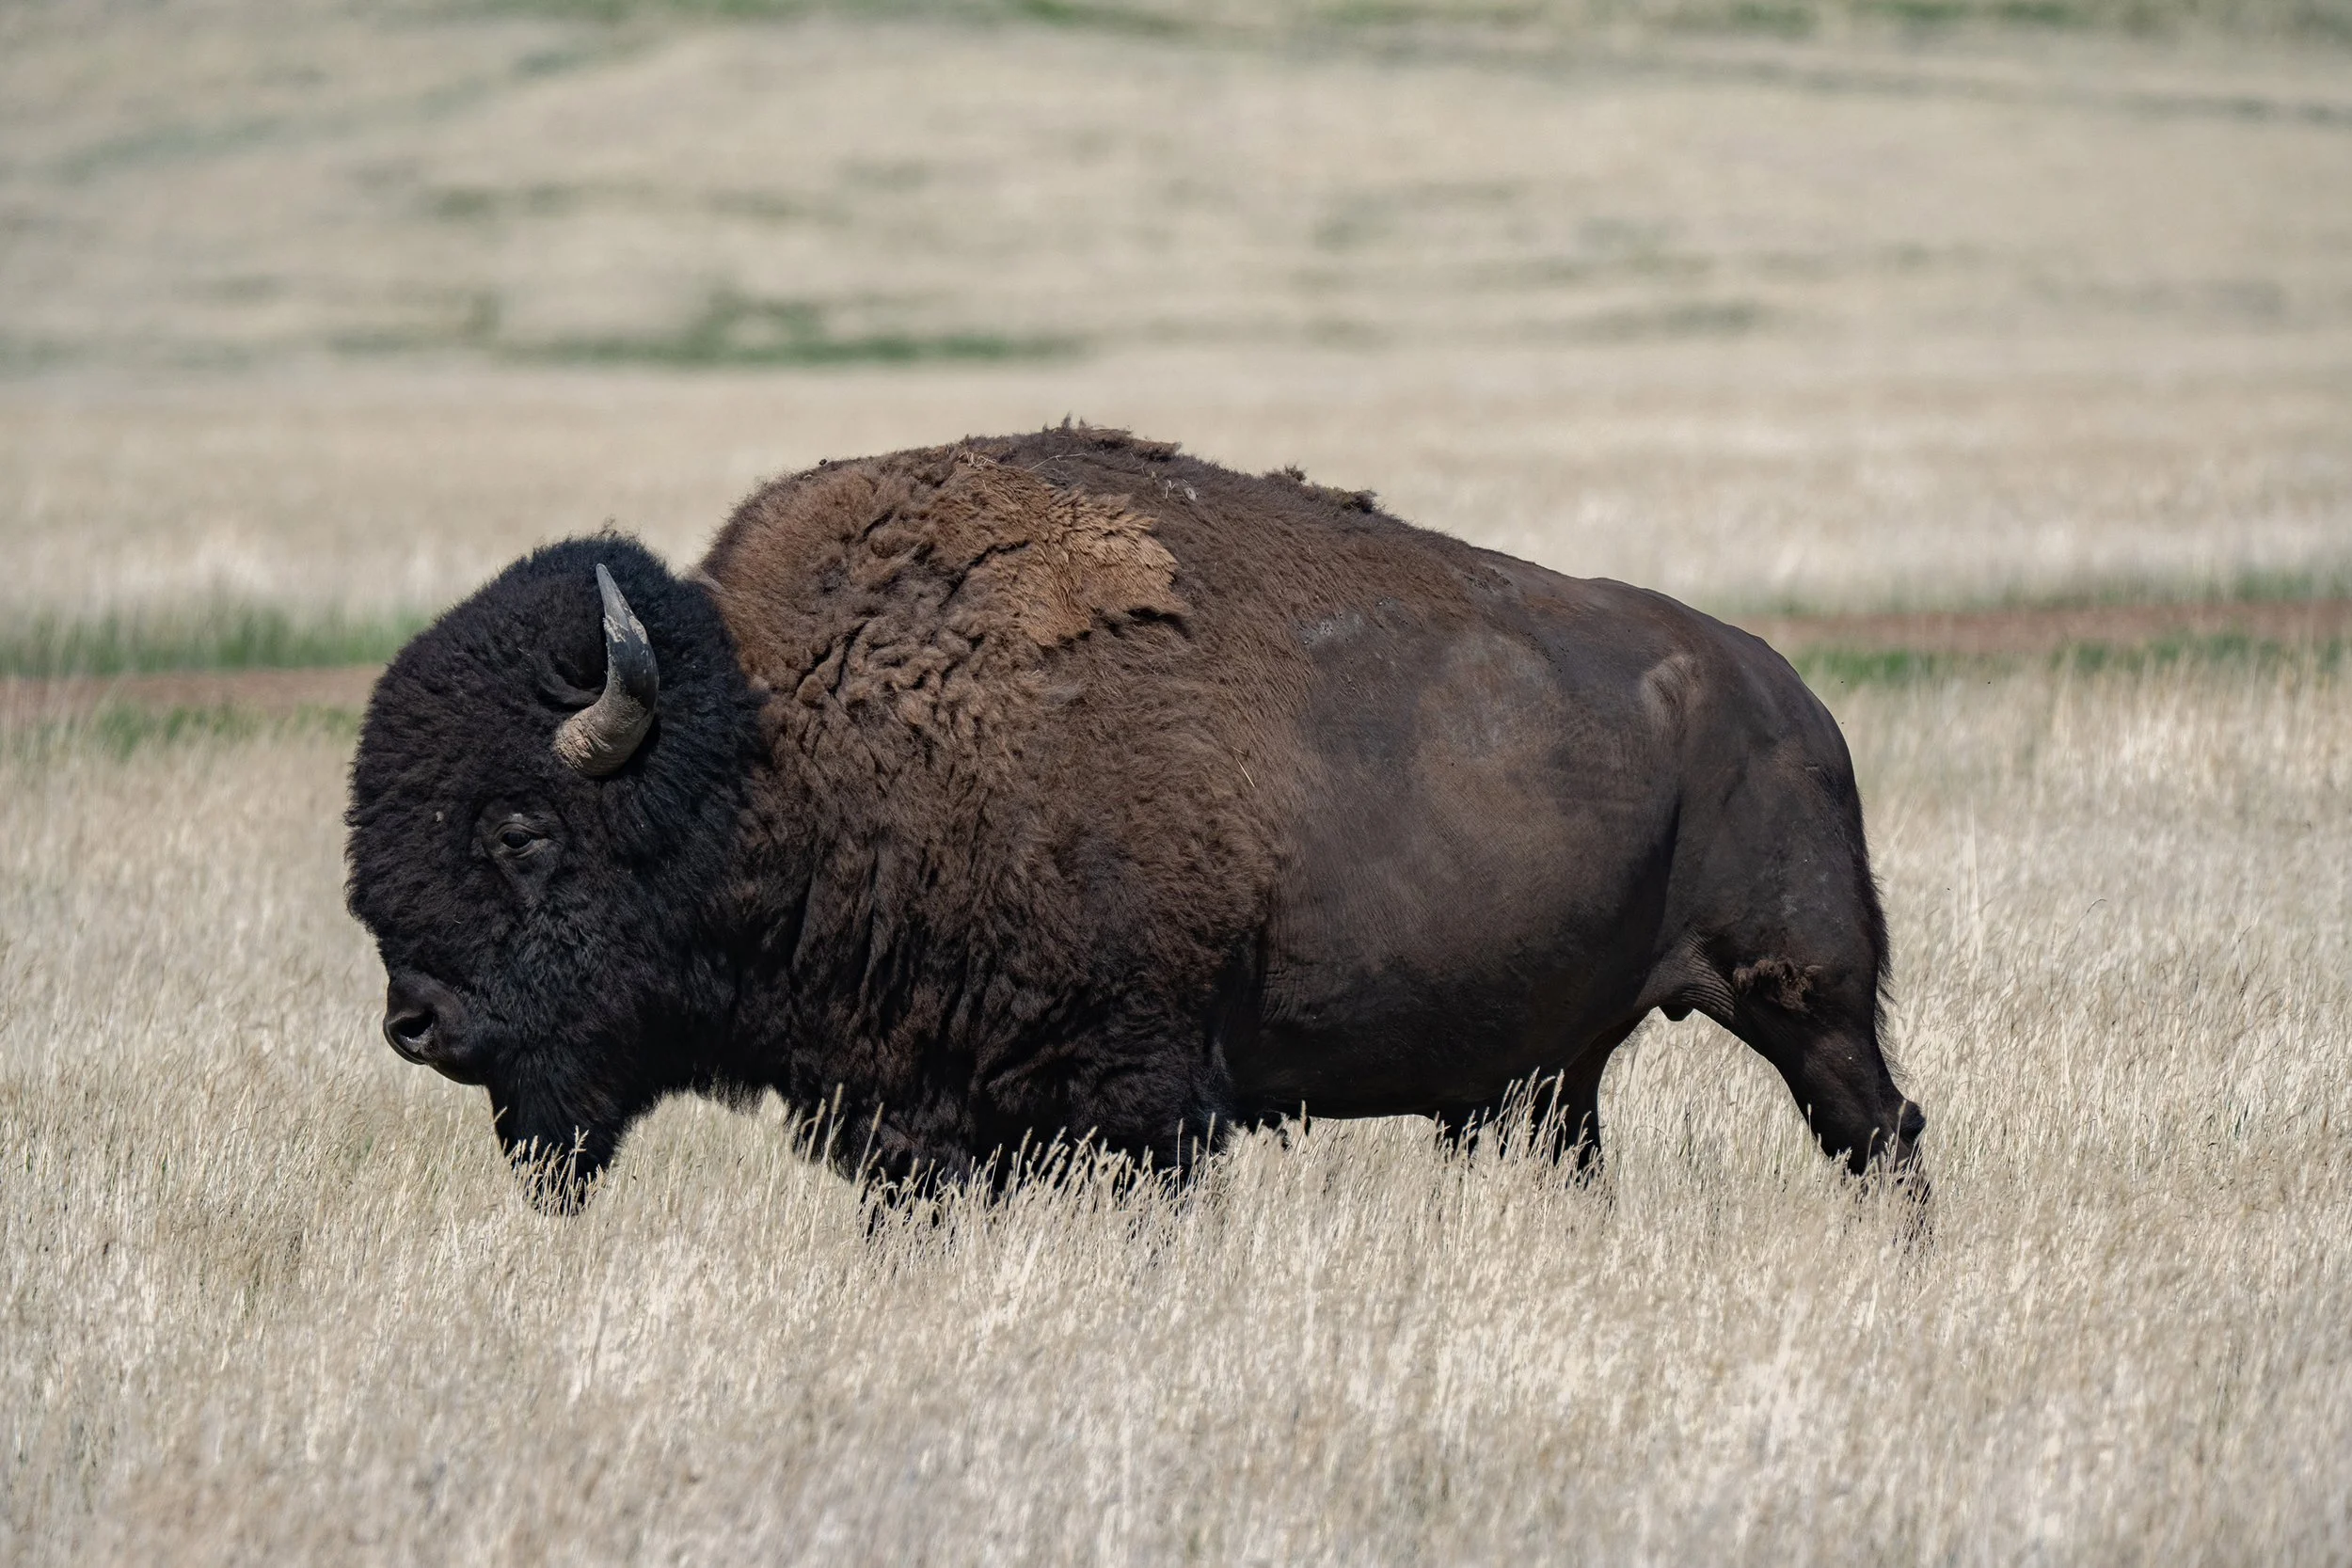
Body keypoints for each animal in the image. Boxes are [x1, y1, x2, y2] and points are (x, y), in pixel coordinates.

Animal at [347, 427, 1924, 1208]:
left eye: (523, 832)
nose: (415, 1020)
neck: (773, 742)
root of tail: (1787, 694)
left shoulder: (1151, 1092)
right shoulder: (921, 1119)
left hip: (1807, 996)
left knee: (1882, 1130)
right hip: (1547, 1075)